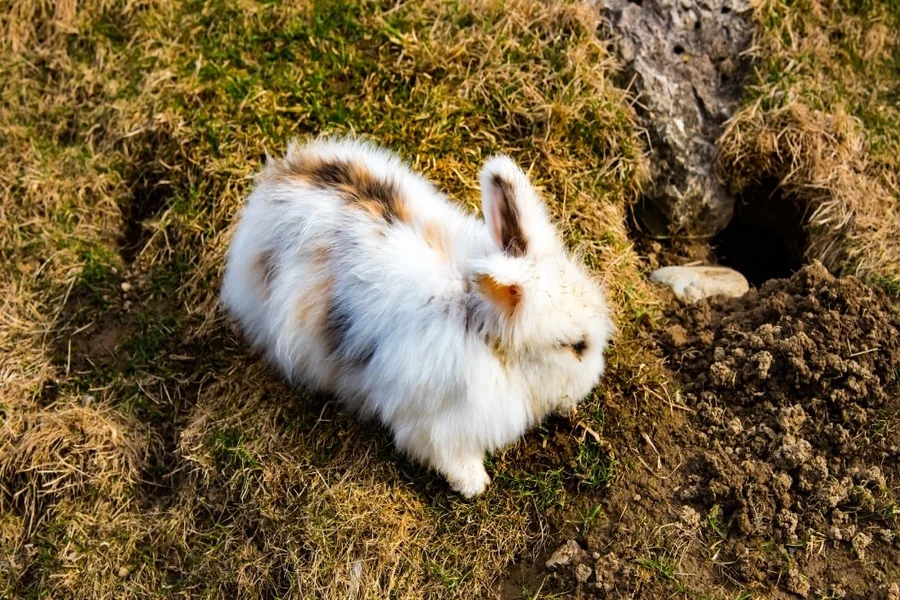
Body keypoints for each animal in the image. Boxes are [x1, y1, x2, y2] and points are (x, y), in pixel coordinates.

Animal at [220, 136, 614, 498]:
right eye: (575, 346)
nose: (593, 380)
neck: (478, 326)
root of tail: (273, 183)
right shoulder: (436, 425)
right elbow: (446, 454)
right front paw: (475, 484)